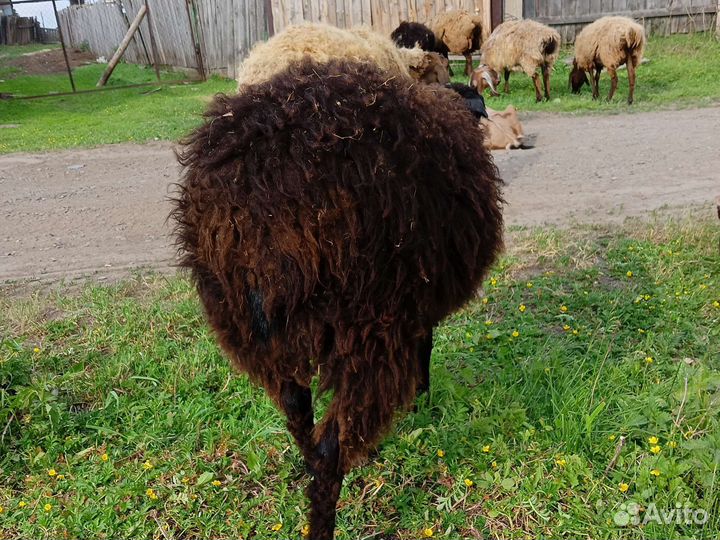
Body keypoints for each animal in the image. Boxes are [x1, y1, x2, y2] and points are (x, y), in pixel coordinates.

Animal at [172, 58, 504, 540]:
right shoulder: (416, 303)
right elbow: (426, 347)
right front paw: (421, 401)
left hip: (247, 324)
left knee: (297, 412)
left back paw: (307, 463)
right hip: (367, 323)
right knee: (333, 445)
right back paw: (324, 513)